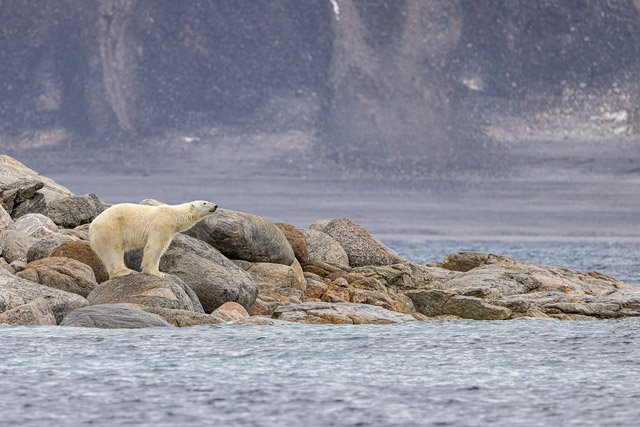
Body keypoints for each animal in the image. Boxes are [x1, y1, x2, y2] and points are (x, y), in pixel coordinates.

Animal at [89, 200, 217, 279]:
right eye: (204, 203)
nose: (215, 206)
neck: (174, 214)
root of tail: (91, 226)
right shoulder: (162, 225)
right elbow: (156, 246)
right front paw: (158, 273)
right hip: (110, 229)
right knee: (113, 251)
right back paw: (125, 271)